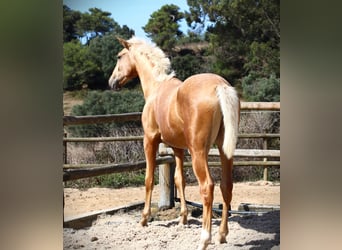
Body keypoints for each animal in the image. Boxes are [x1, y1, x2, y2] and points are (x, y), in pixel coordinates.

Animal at [108, 37, 239, 250]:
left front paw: (144, 218)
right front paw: (183, 218)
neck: (157, 87)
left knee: (207, 187)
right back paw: (222, 235)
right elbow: (180, 180)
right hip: (224, 150)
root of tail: (220, 86)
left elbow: (148, 179)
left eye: (119, 56)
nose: (112, 81)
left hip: (198, 152)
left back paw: (205, 239)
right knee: (226, 186)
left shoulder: (149, 140)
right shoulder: (178, 148)